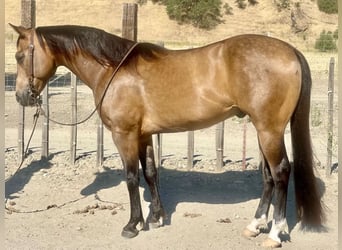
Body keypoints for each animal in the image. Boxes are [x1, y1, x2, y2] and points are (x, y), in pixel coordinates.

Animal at [10, 24, 324, 247]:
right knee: (268, 176)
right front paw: (157, 217)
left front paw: (133, 224)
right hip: (262, 130)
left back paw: (275, 233)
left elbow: (131, 177)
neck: (114, 69)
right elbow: (150, 173)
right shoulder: (144, 135)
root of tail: (290, 51)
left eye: (20, 55)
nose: (22, 96)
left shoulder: (124, 135)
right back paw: (255, 225)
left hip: (269, 130)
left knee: (281, 172)